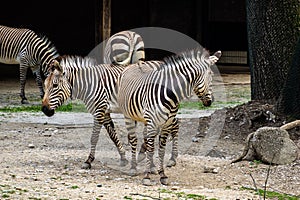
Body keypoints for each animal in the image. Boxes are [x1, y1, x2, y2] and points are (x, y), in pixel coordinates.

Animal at [116, 47, 221, 185]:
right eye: (211, 76)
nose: (210, 102)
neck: (169, 93)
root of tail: (136, 64)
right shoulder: (153, 121)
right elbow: (151, 147)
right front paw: (146, 177)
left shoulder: (167, 123)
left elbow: (161, 149)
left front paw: (162, 174)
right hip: (129, 116)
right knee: (134, 139)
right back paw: (133, 168)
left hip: (147, 120)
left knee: (147, 139)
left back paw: (152, 167)